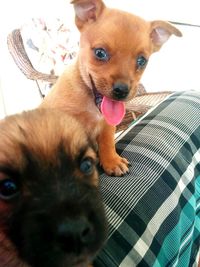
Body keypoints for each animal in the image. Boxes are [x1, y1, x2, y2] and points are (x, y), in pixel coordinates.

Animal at [40, 0, 181, 177]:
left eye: (142, 61)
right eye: (100, 53)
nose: (122, 90)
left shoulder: (107, 126)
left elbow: (107, 143)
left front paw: (112, 161)